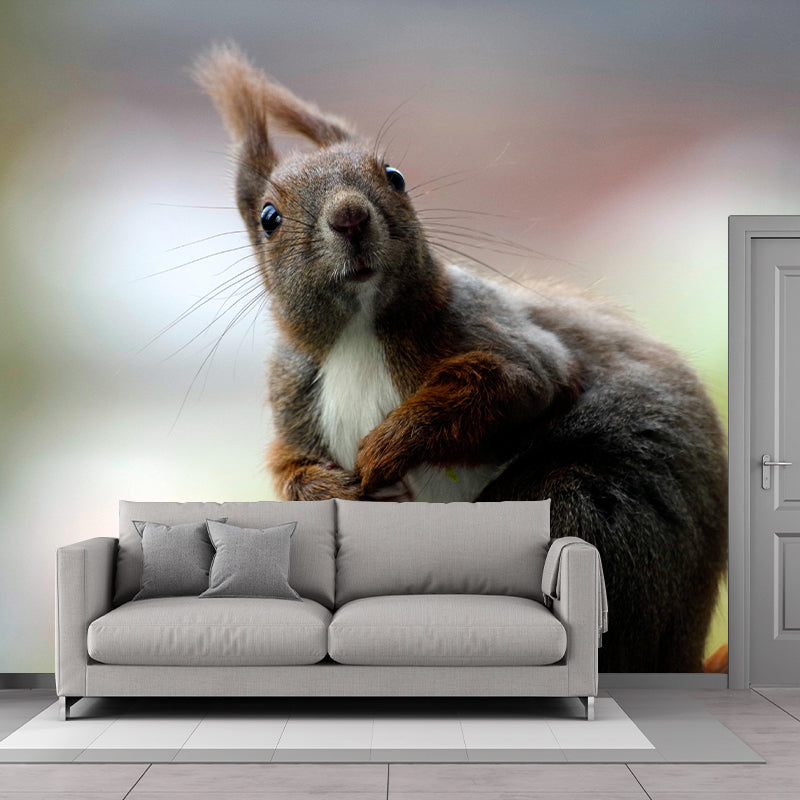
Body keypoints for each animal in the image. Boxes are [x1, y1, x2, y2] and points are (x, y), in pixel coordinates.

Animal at [193, 44, 728, 673]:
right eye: (270, 218)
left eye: (394, 176)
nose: (350, 215)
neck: (359, 333)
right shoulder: (294, 394)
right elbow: (292, 467)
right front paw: (328, 488)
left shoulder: (503, 337)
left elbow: (512, 386)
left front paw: (389, 444)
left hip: (583, 506)